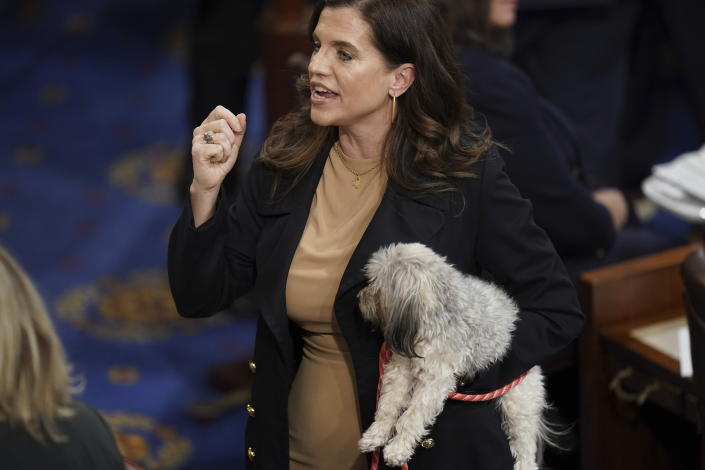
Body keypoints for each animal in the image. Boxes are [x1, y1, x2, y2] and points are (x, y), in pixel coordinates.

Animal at [358, 244, 552, 468]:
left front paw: (398, 449)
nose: (359, 297)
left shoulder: (435, 380)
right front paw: (376, 435)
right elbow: (388, 404)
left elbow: (412, 416)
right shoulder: (400, 369)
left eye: (375, 283)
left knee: (526, 451)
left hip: (518, 406)